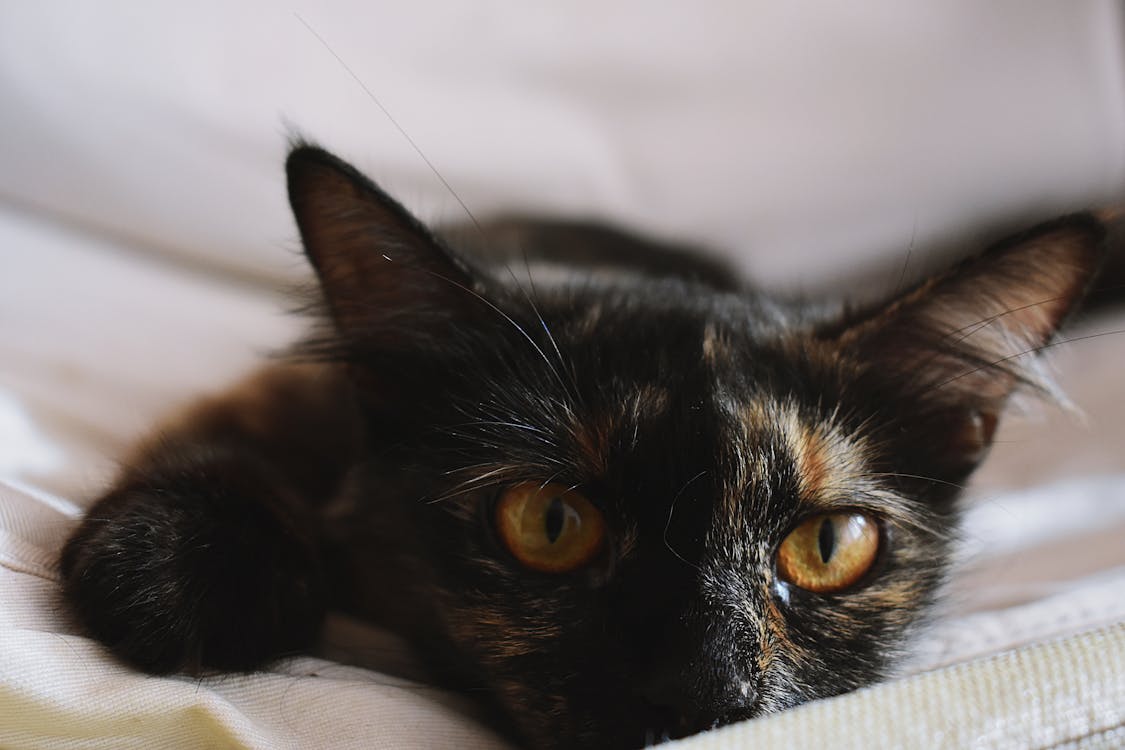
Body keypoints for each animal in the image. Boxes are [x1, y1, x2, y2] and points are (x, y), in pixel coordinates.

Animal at [57, 143, 1102, 746]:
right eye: (550, 523)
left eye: (828, 546)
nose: (704, 698)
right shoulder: (285, 397)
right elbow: (225, 446)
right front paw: (175, 570)